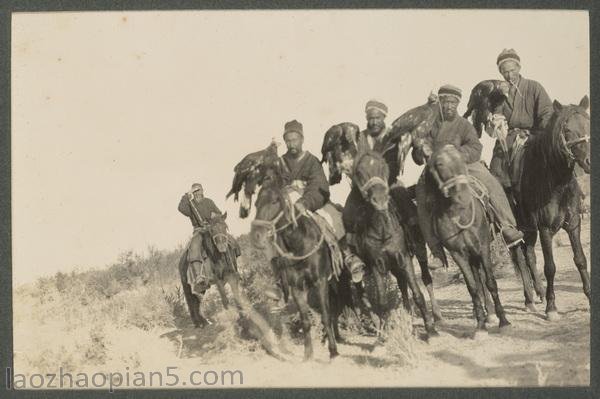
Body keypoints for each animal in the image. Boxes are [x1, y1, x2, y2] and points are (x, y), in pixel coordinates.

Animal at [250, 164, 342, 360]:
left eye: (275, 201)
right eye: (256, 203)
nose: (256, 236)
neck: (300, 243)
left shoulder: (321, 281)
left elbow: (325, 315)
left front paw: (333, 351)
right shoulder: (296, 288)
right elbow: (305, 320)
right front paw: (308, 354)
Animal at [350, 152, 438, 340]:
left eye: (384, 167)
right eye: (359, 172)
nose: (380, 200)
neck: (383, 231)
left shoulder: (404, 258)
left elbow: (417, 293)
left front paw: (430, 329)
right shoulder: (377, 265)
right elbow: (382, 302)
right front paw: (382, 336)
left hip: (416, 254)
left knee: (425, 278)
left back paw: (436, 316)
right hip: (393, 267)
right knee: (402, 286)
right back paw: (408, 318)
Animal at [426, 145, 510, 336]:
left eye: (462, 159)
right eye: (439, 164)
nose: (464, 197)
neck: (457, 213)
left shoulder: (483, 247)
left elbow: (491, 282)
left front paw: (503, 320)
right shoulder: (459, 254)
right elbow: (472, 287)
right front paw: (480, 325)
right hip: (472, 256)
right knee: (478, 282)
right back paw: (487, 314)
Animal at [516, 97, 592, 322]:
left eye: (588, 123)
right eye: (567, 130)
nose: (589, 161)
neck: (556, 184)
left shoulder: (574, 225)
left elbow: (581, 260)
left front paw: (591, 297)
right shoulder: (545, 230)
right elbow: (550, 267)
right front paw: (551, 307)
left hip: (529, 231)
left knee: (529, 255)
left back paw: (539, 294)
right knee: (520, 260)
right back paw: (530, 300)